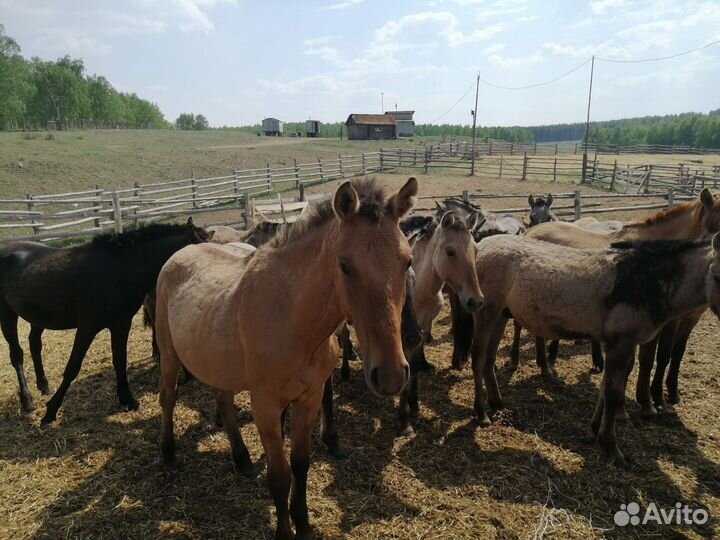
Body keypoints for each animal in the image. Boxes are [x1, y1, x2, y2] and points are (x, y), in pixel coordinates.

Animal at [0, 218, 212, 421]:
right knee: (17, 355)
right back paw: (27, 401)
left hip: (39, 318)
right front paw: (51, 411)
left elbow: (120, 361)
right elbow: (73, 367)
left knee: (34, 345)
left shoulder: (121, 324)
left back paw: (43, 386)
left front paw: (128, 400)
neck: (118, 272)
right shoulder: (87, 327)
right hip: (7, 314)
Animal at [154, 178, 417, 540]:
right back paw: (168, 454)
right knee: (168, 397)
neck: (292, 319)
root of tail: (180, 253)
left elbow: (301, 465)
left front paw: (302, 524)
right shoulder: (265, 404)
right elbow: (279, 475)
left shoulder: (309, 398)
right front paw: (284, 530)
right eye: (344, 265)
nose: (390, 376)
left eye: (407, 261)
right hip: (169, 355)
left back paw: (242, 459)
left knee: (223, 401)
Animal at [468, 234, 719, 467]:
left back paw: (497, 402)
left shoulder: (618, 345)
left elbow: (605, 387)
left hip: (501, 315)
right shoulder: (621, 344)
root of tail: (480, 245)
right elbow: (613, 393)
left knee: (489, 359)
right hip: (486, 313)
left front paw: (595, 430)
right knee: (478, 359)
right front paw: (612, 447)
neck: (645, 281)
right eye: (717, 276)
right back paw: (481, 413)